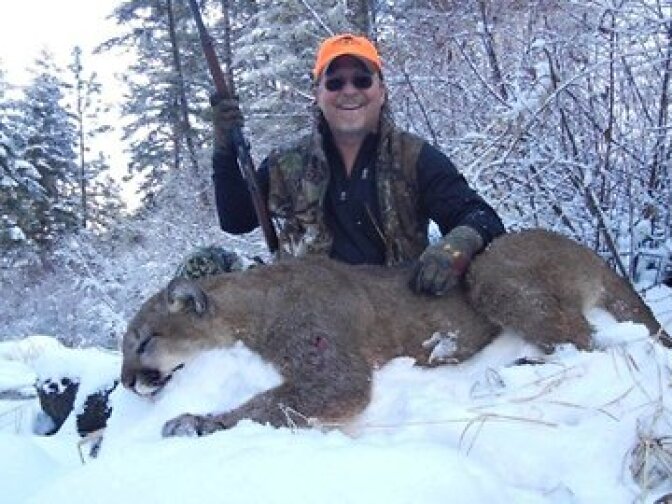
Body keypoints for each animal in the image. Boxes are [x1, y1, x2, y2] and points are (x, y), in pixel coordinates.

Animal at [120, 229, 669, 437]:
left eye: (145, 341)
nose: (126, 382)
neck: (253, 303)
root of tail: (587, 248)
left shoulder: (333, 371)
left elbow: (270, 404)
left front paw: (193, 421)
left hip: (490, 272)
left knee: (587, 342)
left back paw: (508, 374)